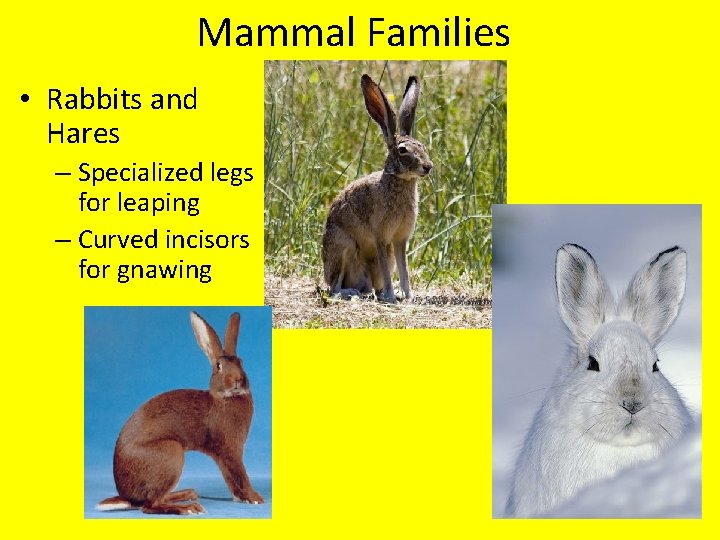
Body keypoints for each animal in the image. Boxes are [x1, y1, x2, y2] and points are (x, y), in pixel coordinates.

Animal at [96, 311, 264, 515]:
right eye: (218, 366)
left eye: (241, 362)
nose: (238, 379)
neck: (224, 398)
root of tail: (127, 497)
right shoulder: (230, 450)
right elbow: (241, 475)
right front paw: (255, 498)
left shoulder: (223, 456)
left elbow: (230, 478)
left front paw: (241, 498)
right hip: (171, 454)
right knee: (149, 506)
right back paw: (189, 508)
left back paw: (188, 494)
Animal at [322, 74, 433, 304]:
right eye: (402, 150)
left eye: (422, 146)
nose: (428, 167)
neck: (400, 181)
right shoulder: (381, 236)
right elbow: (389, 271)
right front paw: (392, 297)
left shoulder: (399, 240)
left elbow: (404, 269)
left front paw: (408, 296)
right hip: (343, 246)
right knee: (335, 287)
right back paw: (352, 292)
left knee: (374, 283)